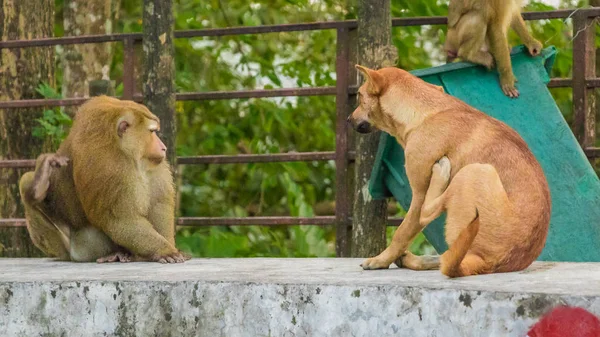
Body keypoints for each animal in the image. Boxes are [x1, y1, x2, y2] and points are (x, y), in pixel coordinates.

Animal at [20, 94, 190, 262]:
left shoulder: (154, 164)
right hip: (81, 248)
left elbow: (158, 204)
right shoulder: (110, 167)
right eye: (152, 131)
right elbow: (121, 220)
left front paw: (170, 247)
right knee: (27, 182)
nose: (163, 147)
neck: (124, 151)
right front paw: (164, 250)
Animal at [350, 64, 552, 276]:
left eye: (359, 96)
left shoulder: (419, 194)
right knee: (446, 258)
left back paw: (441, 174)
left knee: (428, 213)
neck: (424, 113)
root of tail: (489, 263)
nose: (348, 119)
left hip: (475, 171)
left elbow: (402, 233)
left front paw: (380, 260)